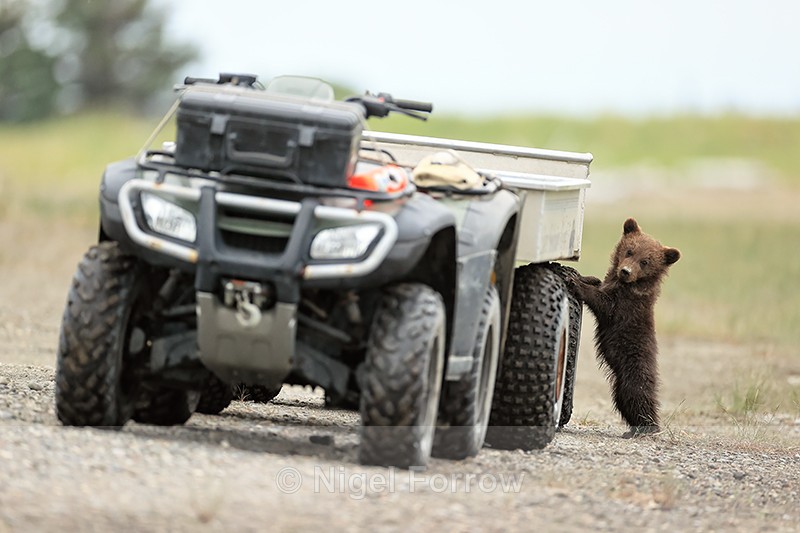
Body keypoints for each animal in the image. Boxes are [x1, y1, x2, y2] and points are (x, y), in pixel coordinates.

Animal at [567, 217, 680, 437]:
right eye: (629, 251)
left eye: (645, 261)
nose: (625, 271)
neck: (627, 285)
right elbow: (598, 283)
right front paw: (587, 278)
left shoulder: (625, 306)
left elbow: (604, 304)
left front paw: (576, 283)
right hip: (619, 384)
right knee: (623, 401)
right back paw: (632, 429)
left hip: (634, 372)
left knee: (638, 398)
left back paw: (647, 428)